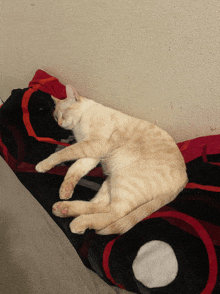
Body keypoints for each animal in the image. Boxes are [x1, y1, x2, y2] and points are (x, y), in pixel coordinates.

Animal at [35, 84, 187, 234]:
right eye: (55, 118)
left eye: (64, 113)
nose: (59, 123)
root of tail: (185, 179)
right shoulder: (91, 155)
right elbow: (74, 169)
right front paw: (66, 190)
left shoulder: (93, 144)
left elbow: (63, 154)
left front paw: (43, 165)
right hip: (111, 181)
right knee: (100, 206)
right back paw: (64, 209)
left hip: (123, 180)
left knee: (115, 213)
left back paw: (79, 222)